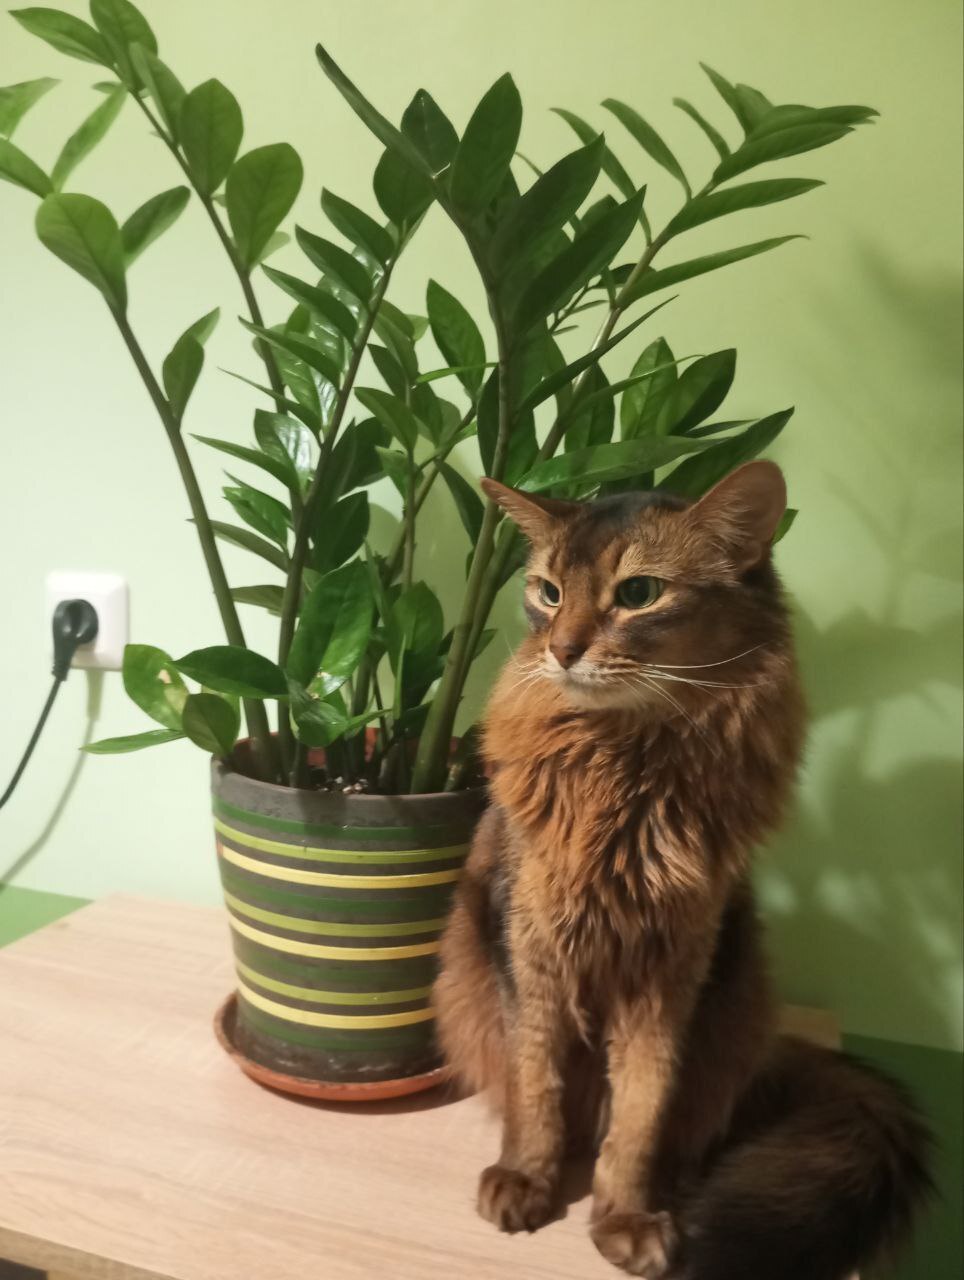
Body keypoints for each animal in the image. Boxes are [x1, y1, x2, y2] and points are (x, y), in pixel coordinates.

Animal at [433, 462, 932, 1280]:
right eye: (548, 591)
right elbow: (535, 1082)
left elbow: (643, 1106)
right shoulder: (530, 946)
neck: (626, 772)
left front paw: (626, 1215)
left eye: (638, 592)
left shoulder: (674, 965)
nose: (561, 650)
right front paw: (527, 1179)